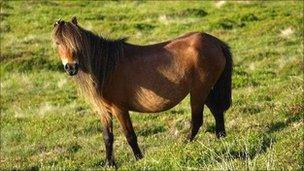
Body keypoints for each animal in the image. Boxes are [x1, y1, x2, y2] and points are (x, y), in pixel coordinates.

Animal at [52, 16, 233, 166]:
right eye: (58, 43)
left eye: (77, 42)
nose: (71, 67)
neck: (108, 66)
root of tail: (216, 42)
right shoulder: (104, 111)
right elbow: (107, 137)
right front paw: (109, 164)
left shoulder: (120, 109)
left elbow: (130, 135)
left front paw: (139, 159)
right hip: (206, 90)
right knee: (217, 111)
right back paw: (221, 138)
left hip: (198, 92)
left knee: (197, 121)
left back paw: (183, 145)